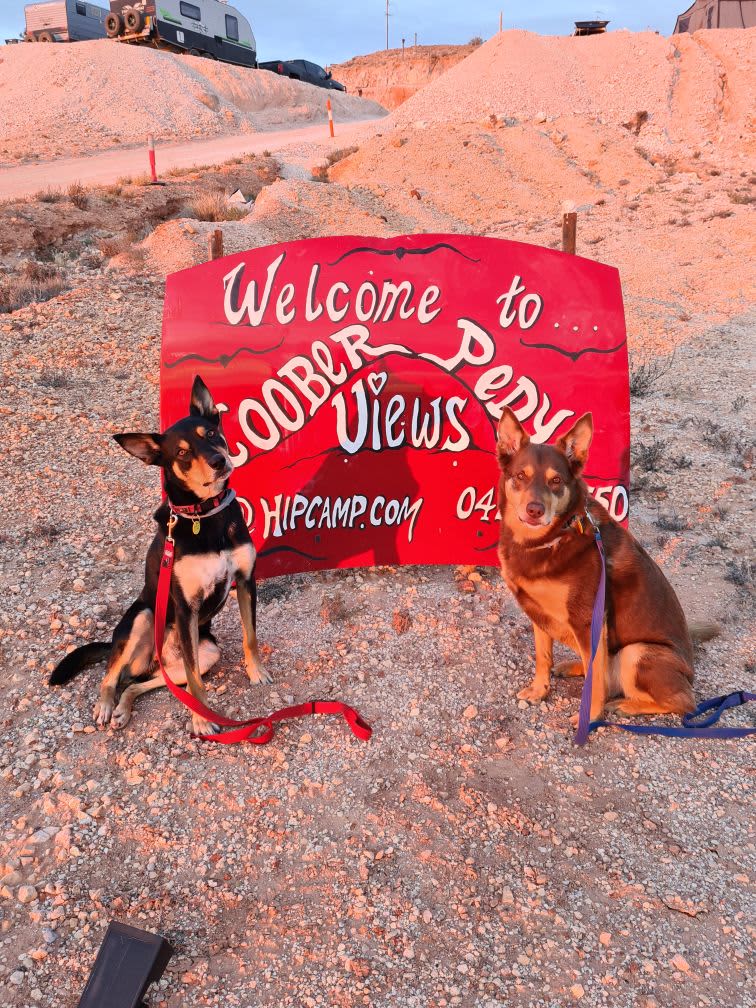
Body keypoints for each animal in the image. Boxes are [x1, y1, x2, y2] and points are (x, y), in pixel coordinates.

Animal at [50, 379, 270, 733]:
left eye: (211, 434)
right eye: (181, 452)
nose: (218, 461)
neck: (205, 514)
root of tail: (158, 656)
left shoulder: (246, 580)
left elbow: (250, 636)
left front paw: (256, 672)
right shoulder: (185, 607)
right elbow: (195, 683)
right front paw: (201, 720)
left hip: (207, 650)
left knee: (142, 683)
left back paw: (123, 709)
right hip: (143, 616)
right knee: (112, 675)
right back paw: (105, 705)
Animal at [497, 407, 717, 725]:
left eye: (556, 481)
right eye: (520, 476)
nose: (534, 510)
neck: (552, 539)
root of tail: (690, 673)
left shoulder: (589, 620)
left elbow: (595, 681)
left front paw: (589, 717)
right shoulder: (538, 613)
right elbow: (542, 656)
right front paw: (540, 690)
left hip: (636, 653)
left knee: (684, 702)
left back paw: (626, 706)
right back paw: (574, 667)